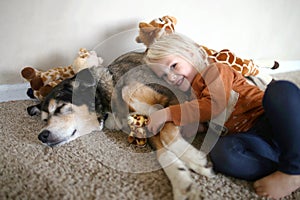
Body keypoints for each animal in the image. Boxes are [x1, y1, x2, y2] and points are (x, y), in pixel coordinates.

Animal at [28, 51, 214, 198]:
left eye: (60, 108)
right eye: (44, 120)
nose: (42, 136)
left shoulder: (172, 98)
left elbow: (166, 130)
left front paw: (196, 160)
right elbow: (164, 154)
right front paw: (183, 184)